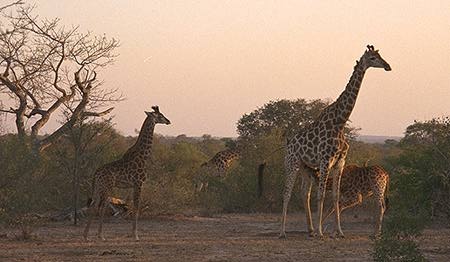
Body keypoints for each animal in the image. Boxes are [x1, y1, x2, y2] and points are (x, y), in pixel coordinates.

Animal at [83, 105, 171, 241]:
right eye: (160, 115)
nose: (168, 121)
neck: (143, 155)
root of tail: (96, 173)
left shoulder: (133, 185)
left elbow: (133, 206)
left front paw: (133, 234)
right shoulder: (139, 183)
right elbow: (136, 207)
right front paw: (135, 235)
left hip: (98, 187)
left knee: (93, 205)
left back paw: (86, 236)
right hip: (107, 187)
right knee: (101, 207)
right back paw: (100, 235)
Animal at [280, 45, 392, 237]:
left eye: (380, 55)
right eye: (372, 58)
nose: (388, 66)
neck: (340, 122)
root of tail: (289, 143)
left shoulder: (340, 161)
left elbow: (335, 196)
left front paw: (338, 232)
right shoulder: (325, 160)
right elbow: (322, 195)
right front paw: (321, 233)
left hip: (304, 166)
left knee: (304, 193)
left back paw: (309, 230)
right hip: (292, 162)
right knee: (287, 192)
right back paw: (283, 231)